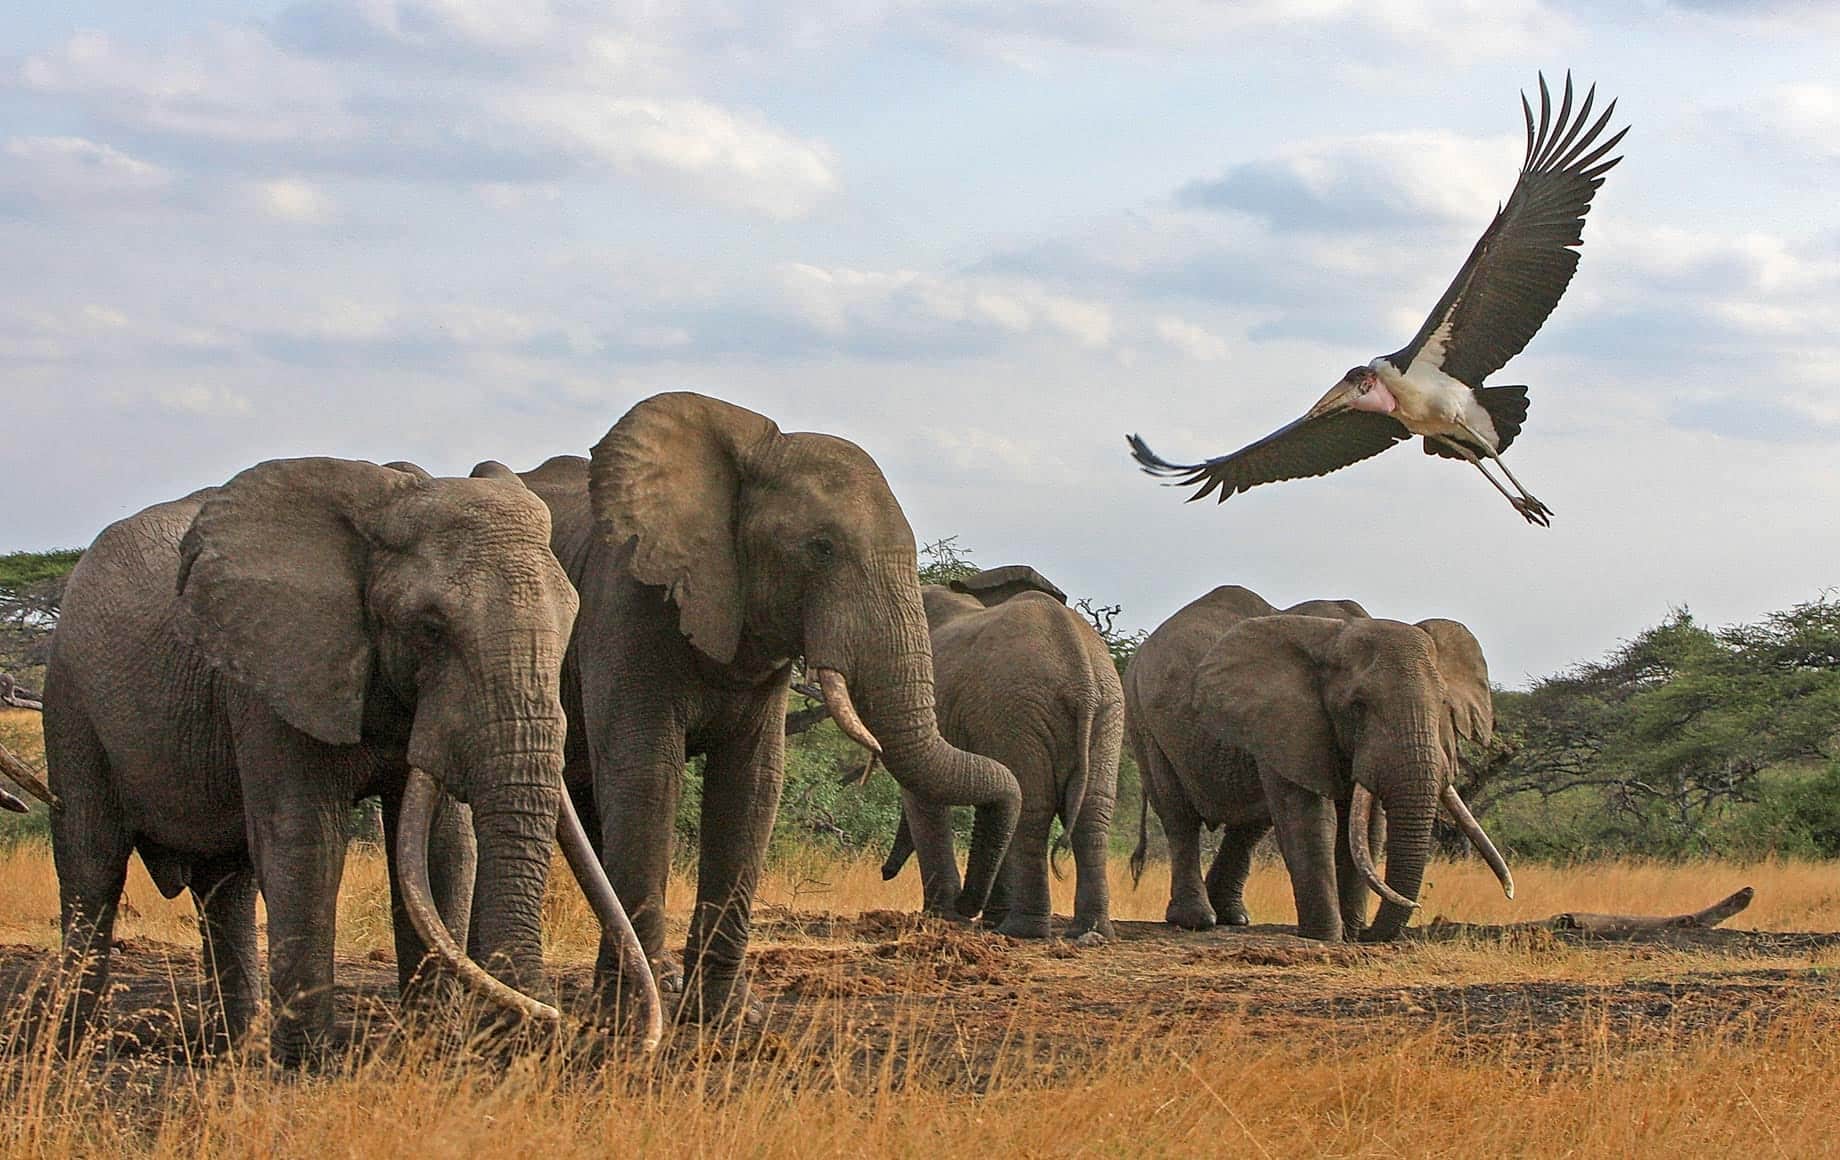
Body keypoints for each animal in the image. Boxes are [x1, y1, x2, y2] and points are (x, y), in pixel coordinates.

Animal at [39, 458, 662, 1067]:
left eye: (572, 621)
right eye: (430, 628)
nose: (558, 1024)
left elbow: (442, 851)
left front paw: (428, 1055)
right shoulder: (276, 671)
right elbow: (307, 844)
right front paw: (309, 1068)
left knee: (226, 886)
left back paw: (235, 1052)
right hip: (69, 696)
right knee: (92, 864)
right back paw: (70, 1052)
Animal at [507, 397, 1023, 1023]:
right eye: (821, 548)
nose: (968, 911)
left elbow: (752, 785)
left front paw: (730, 1018)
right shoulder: (626, 601)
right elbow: (647, 774)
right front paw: (630, 1019)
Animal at [875, 567, 1118, 942]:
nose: (883, 872)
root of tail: (1083, 680)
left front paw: (944, 917)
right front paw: (980, 918)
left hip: (1017, 710)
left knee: (1033, 810)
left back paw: (1022, 931)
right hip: (1105, 713)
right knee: (1093, 813)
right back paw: (1087, 933)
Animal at [1118, 589, 1508, 942]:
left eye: (1443, 704)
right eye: (1358, 705)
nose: (1369, 935)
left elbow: (1368, 826)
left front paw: (1350, 934)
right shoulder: (1288, 719)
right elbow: (1307, 818)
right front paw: (1326, 936)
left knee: (1250, 825)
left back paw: (1234, 918)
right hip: (1142, 718)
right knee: (1179, 815)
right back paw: (1197, 920)